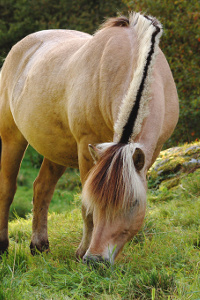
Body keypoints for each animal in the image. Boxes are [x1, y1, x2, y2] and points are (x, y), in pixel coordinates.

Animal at [0, 12, 178, 264]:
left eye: (134, 202)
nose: (96, 259)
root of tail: (20, 47)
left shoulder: (149, 154)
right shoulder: (86, 149)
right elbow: (86, 209)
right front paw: (82, 251)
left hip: (56, 151)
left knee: (42, 188)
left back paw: (39, 245)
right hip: (11, 138)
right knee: (7, 189)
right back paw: (3, 245)